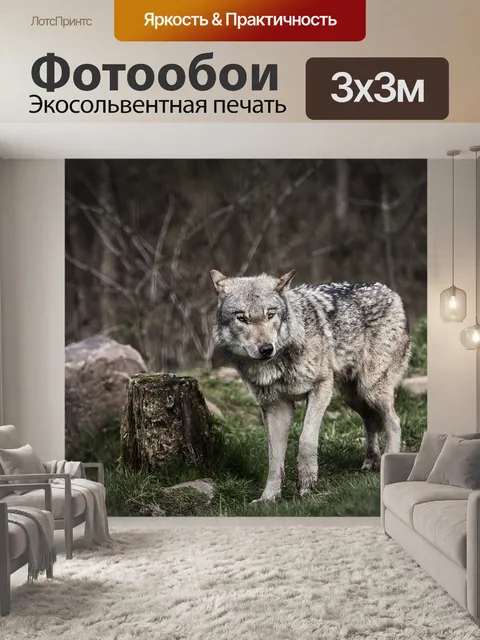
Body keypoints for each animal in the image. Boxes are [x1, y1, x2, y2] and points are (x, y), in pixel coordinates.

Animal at [210, 269, 411, 503]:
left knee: (394, 422)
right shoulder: (275, 407)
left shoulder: (321, 387)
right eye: (242, 318)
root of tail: (390, 292)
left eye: (270, 315)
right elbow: (274, 459)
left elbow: (306, 439)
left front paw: (306, 484)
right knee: (371, 421)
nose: (266, 348)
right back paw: (372, 461)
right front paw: (268, 498)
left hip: (371, 389)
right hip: (353, 397)